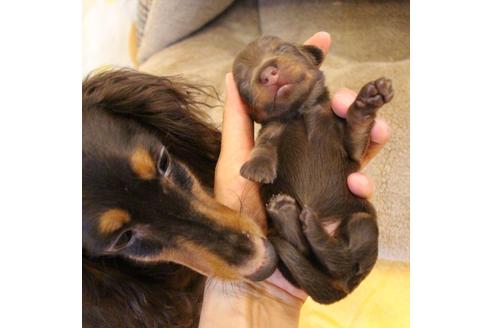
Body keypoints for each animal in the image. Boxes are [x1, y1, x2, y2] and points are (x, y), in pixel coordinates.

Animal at [233, 36, 394, 304]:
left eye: (284, 49)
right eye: (244, 83)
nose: (267, 73)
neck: (300, 112)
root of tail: (344, 289)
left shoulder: (350, 145)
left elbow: (357, 129)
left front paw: (367, 101)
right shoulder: (272, 128)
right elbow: (264, 144)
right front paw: (257, 167)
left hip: (362, 221)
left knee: (341, 258)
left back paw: (310, 225)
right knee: (309, 251)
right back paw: (287, 213)